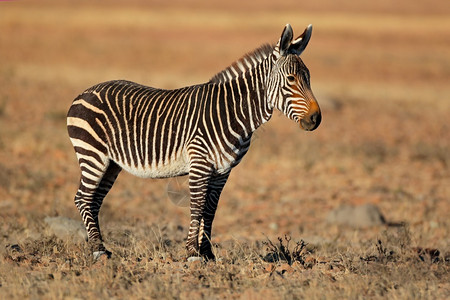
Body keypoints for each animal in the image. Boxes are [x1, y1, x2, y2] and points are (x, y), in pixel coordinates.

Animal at [67, 24, 320, 260]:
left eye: (309, 78)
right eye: (291, 79)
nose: (316, 119)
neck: (231, 112)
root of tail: (85, 92)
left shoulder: (222, 171)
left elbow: (210, 211)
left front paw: (208, 253)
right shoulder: (200, 163)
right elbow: (197, 207)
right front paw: (192, 253)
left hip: (111, 163)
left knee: (95, 200)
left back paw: (100, 246)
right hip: (93, 154)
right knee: (83, 198)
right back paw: (98, 250)